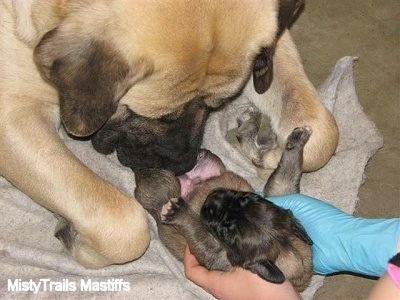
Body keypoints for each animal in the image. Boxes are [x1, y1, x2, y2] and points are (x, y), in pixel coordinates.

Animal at [0, 0, 338, 268]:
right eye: (160, 117)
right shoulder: (12, 114)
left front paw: (268, 150)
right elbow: (125, 225)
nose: (184, 166)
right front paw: (73, 236)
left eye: (219, 104)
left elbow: (324, 133)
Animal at [136, 125, 314, 290]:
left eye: (224, 234)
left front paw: (179, 212)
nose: (212, 197)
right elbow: (285, 176)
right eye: (248, 197)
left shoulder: (216, 255)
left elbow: (197, 230)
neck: (284, 249)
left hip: (164, 184)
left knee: (161, 186)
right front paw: (296, 141)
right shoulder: (279, 194)